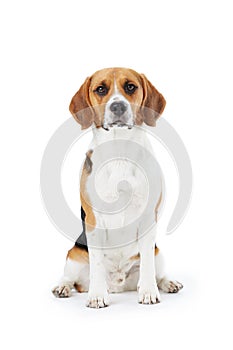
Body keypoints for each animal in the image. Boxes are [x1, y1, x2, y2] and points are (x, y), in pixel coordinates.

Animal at [52, 67, 183, 308]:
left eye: (130, 86)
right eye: (100, 89)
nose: (118, 106)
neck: (120, 150)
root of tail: (118, 284)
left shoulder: (148, 219)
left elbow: (148, 265)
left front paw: (149, 292)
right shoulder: (94, 221)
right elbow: (96, 263)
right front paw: (96, 295)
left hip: (158, 252)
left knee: (157, 271)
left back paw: (167, 283)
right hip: (73, 256)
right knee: (70, 278)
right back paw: (63, 287)